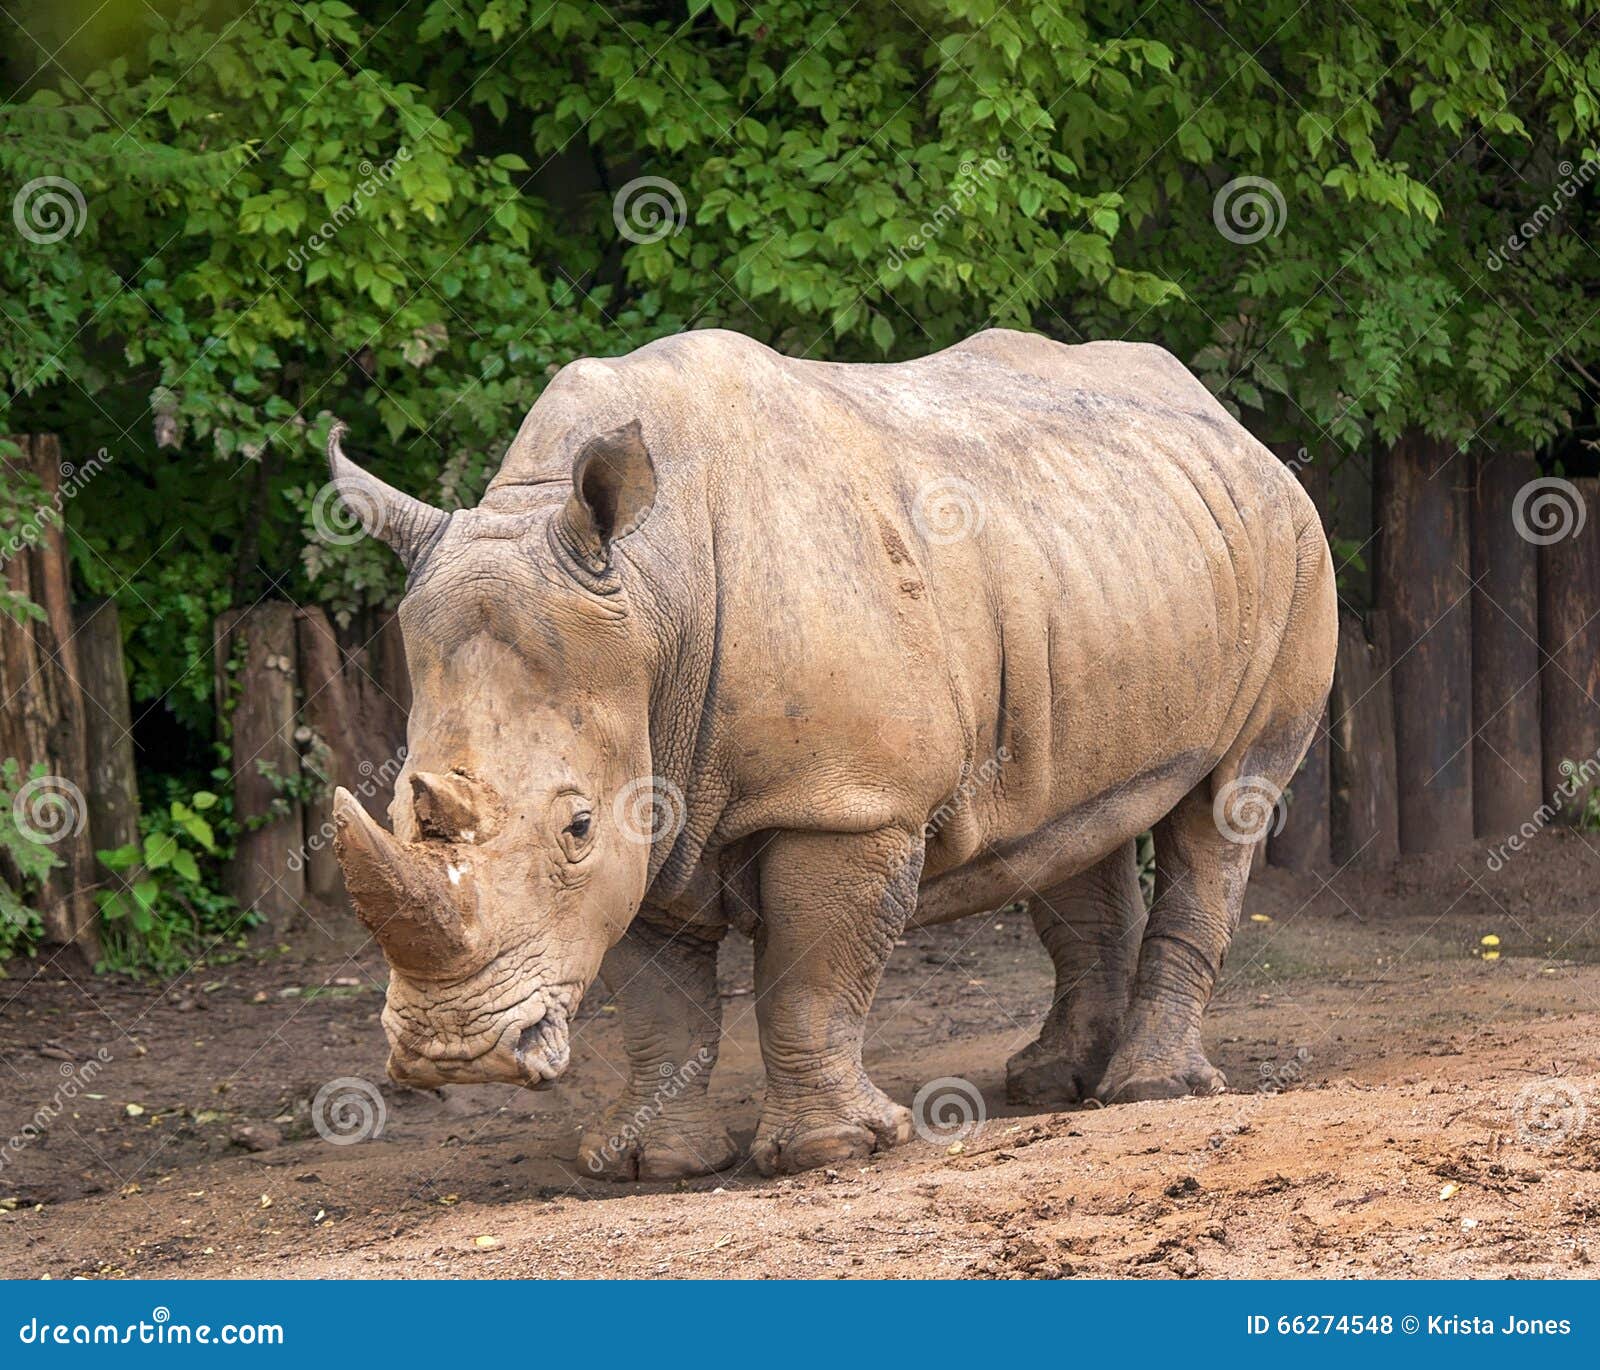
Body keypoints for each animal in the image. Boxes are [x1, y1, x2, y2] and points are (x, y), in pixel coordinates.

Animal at [329, 327, 1336, 1179]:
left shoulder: (849, 801)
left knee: (1224, 807)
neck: (653, 594)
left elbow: (810, 977)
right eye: (395, 808)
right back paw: (1052, 1083)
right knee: (1075, 818)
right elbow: (660, 1001)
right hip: (1103, 557)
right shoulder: (650, 793)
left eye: (575, 826)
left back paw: (1147, 1091)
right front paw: (652, 1166)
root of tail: (1231, 423)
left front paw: (831, 1152)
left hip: (1294, 543)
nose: (454, 1054)